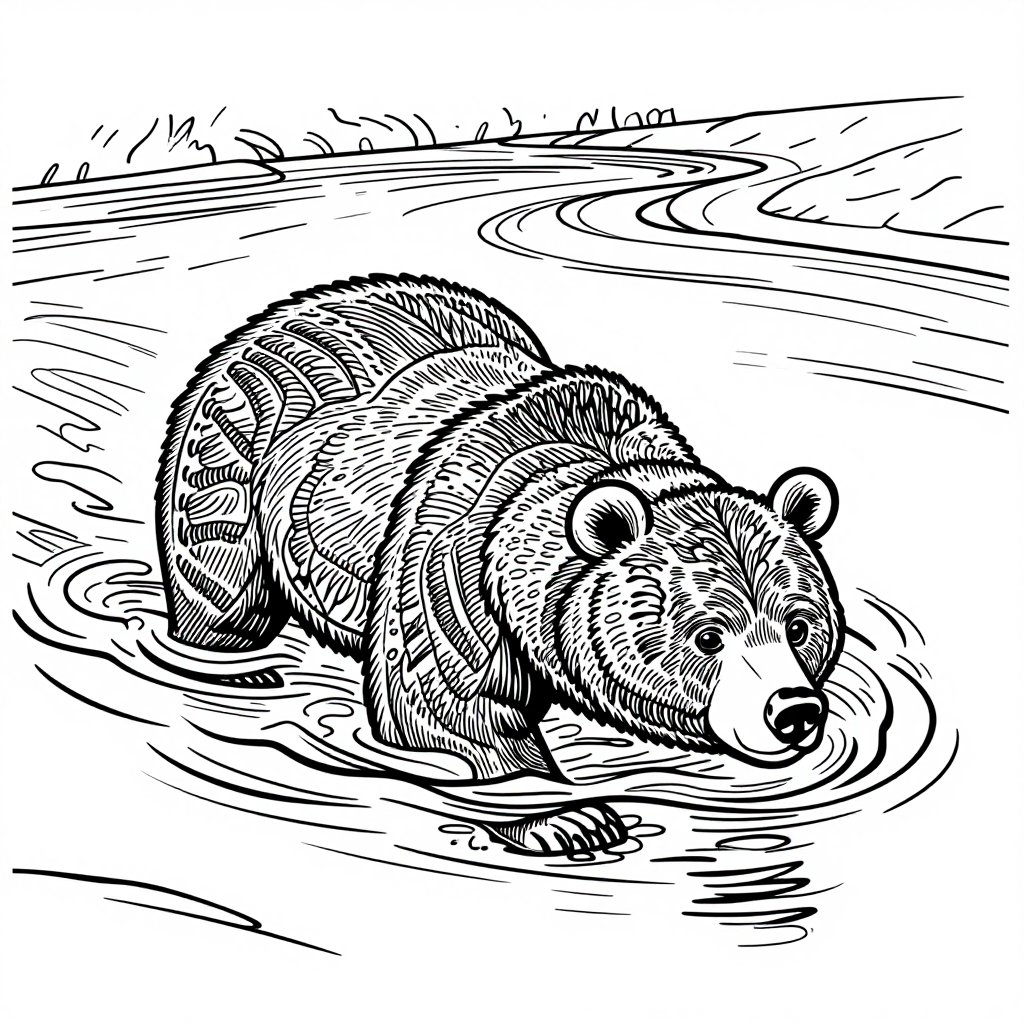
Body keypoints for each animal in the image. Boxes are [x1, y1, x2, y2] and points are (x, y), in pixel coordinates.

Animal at [157, 273, 844, 856]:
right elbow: (440, 703)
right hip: (233, 450)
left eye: (800, 625)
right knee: (220, 585)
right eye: (707, 636)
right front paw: (571, 817)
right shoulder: (448, 572)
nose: (793, 711)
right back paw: (234, 663)